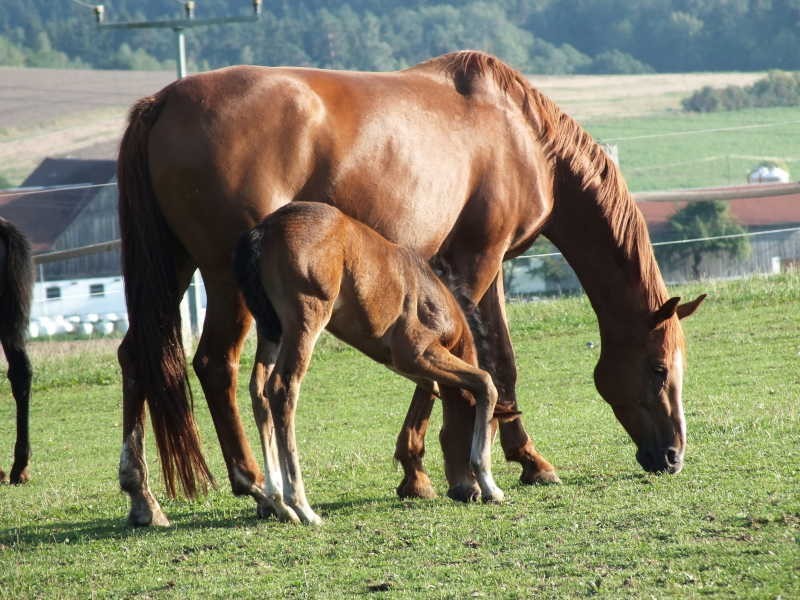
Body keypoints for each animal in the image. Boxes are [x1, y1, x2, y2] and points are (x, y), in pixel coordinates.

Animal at [233, 204, 520, 524]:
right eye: (487, 428)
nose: (467, 492)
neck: (435, 296)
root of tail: (264, 229)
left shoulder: (406, 364)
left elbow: (433, 387)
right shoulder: (418, 353)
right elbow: (485, 383)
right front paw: (491, 486)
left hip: (271, 330)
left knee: (259, 390)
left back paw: (279, 502)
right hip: (306, 321)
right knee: (282, 389)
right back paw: (302, 507)